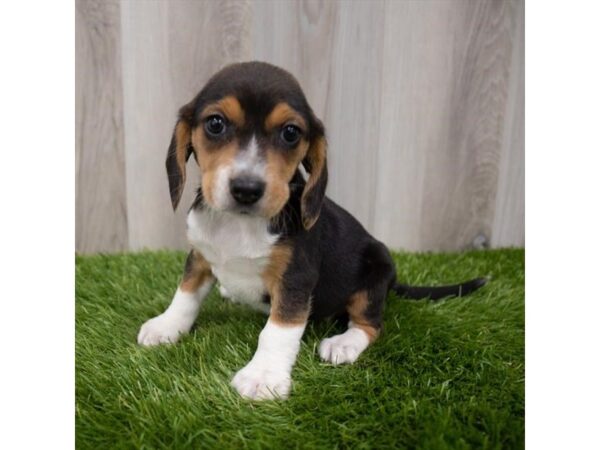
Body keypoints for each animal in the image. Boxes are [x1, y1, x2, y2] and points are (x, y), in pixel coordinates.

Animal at [137, 60, 488, 400]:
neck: (239, 223)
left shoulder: (296, 278)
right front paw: (166, 326)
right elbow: (185, 294)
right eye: (215, 124)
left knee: (371, 324)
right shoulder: (199, 256)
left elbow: (278, 330)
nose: (247, 189)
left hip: (376, 269)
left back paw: (344, 343)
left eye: (291, 133)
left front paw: (263, 376)